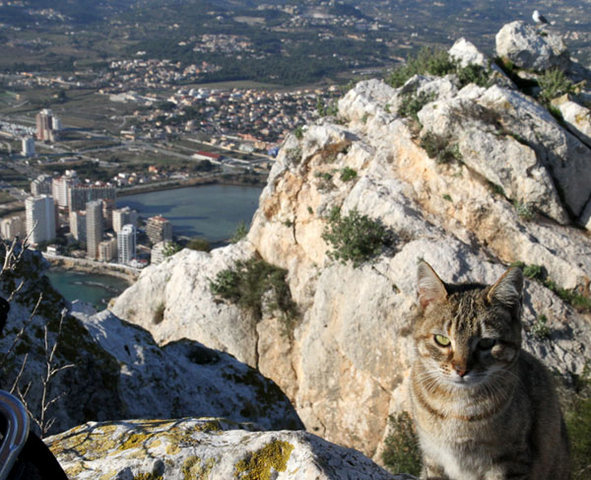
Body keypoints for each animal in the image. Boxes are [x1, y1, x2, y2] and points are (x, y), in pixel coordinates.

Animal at [410, 262, 572, 480]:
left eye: (486, 342)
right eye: (442, 340)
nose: (461, 370)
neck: (457, 408)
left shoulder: (510, 461)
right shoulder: (433, 457)